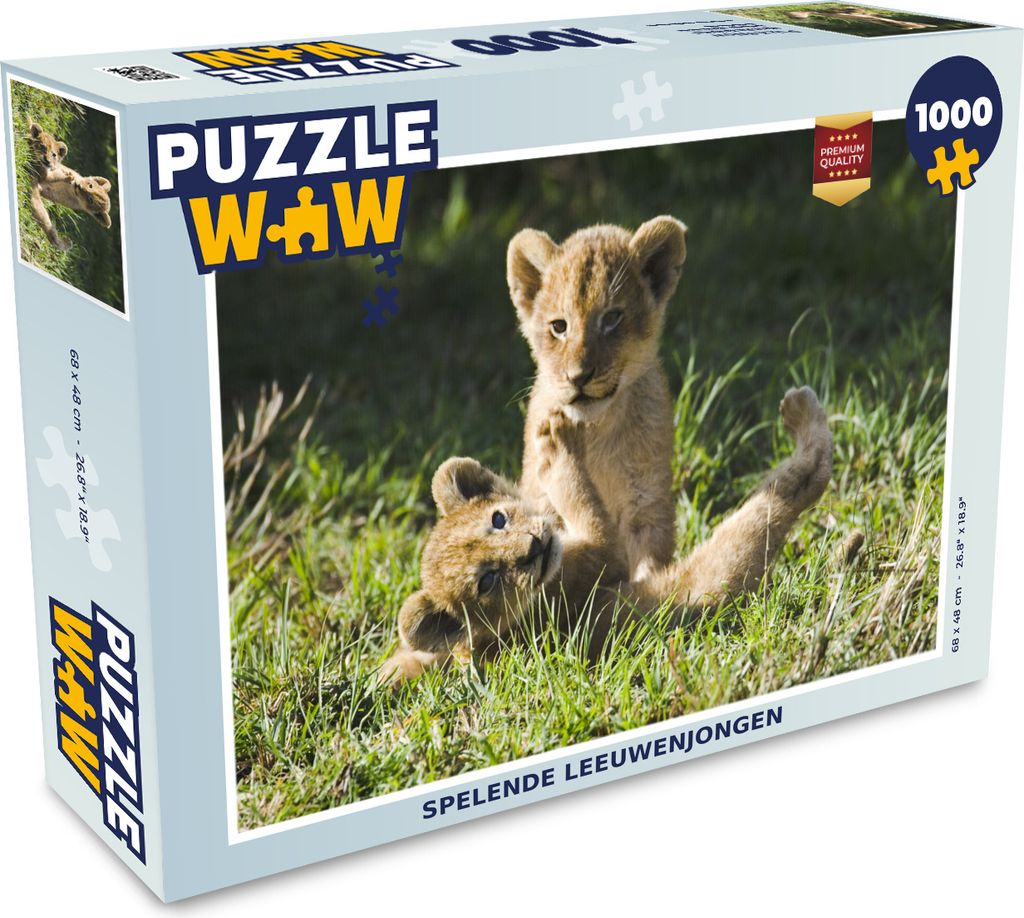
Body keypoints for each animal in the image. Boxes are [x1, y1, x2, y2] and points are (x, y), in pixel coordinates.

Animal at [381, 386, 832, 684]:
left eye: (498, 519)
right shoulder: (596, 557)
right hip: (720, 569)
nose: (533, 548)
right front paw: (556, 441)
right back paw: (801, 413)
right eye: (487, 581)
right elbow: (587, 505)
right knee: (799, 485)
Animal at [508, 216, 687, 583]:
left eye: (612, 319)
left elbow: (647, 563)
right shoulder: (541, 501)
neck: (596, 429)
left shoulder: (647, 502)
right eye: (559, 326)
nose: (578, 376)